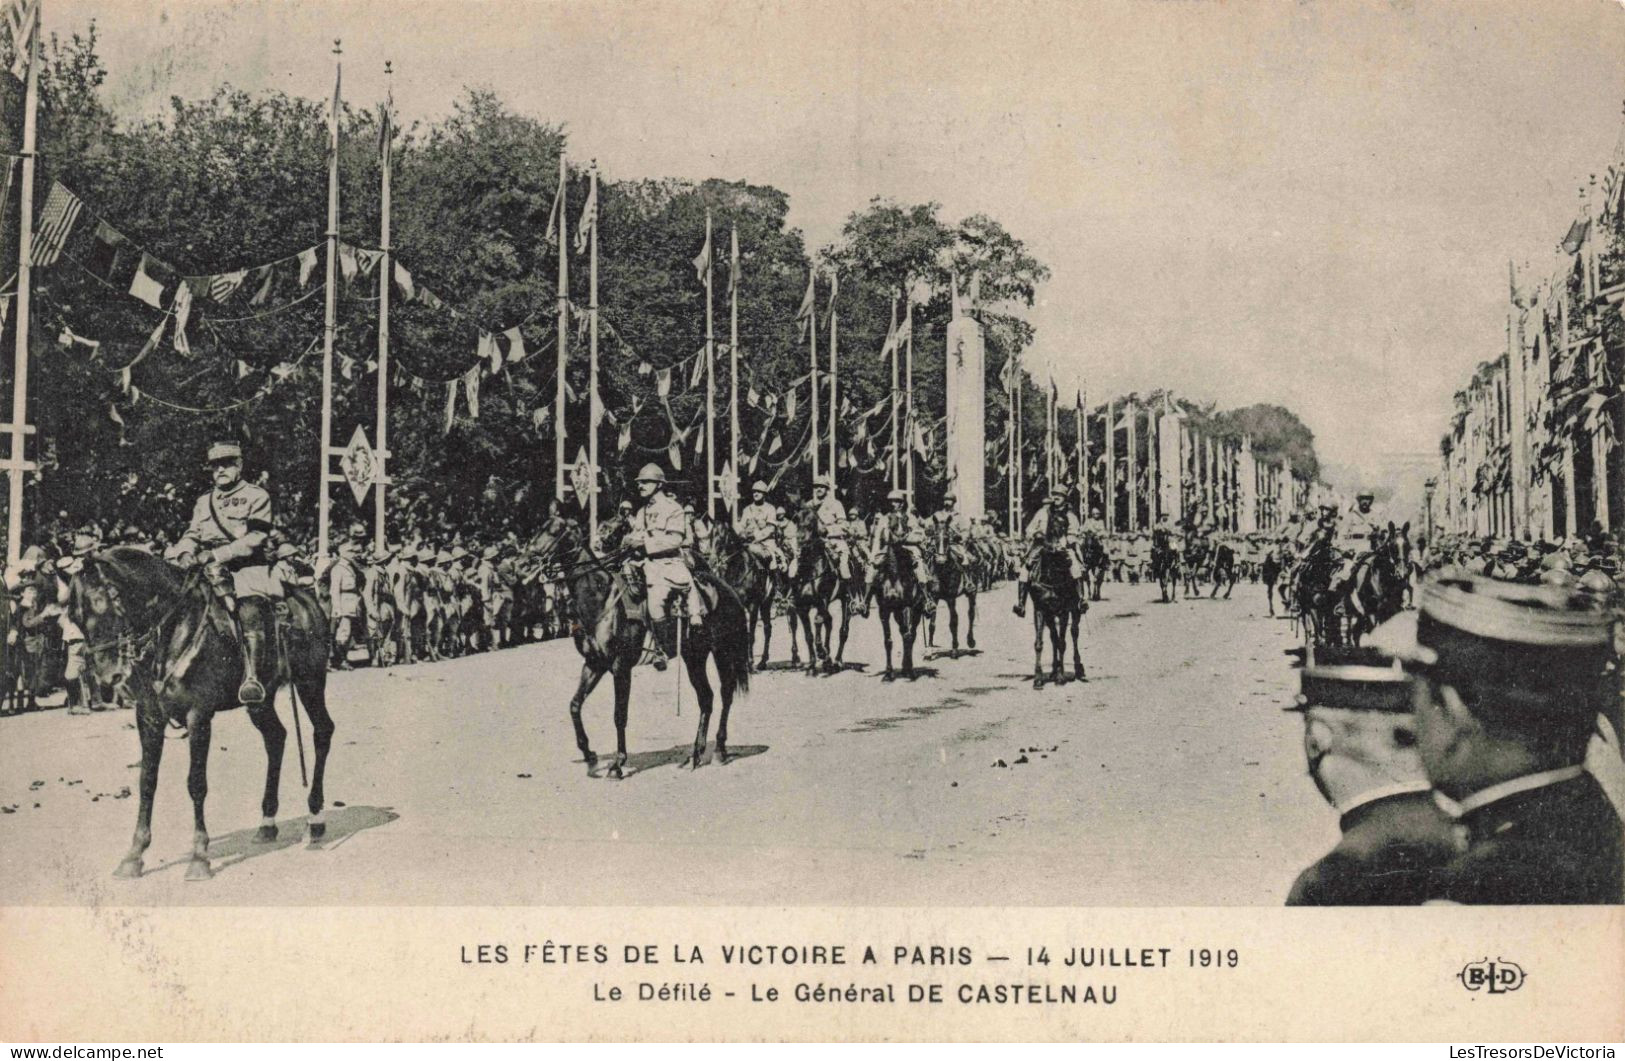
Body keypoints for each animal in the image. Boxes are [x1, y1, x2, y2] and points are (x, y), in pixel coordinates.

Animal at [68, 542, 334, 883]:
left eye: (106, 600)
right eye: (74, 615)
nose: (108, 677)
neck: (172, 629)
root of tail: (307, 597)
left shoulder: (198, 716)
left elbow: (196, 783)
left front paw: (199, 856)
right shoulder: (149, 717)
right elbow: (147, 781)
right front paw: (134, 855)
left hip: (310, 681)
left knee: (322, 731)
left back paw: (315, 819)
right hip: (260, 701)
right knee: (276, 738)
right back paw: (267, 822)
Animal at [529, 510, 750, 773]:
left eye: (553, 531)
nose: (528, 556)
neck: (602, 600)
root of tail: (729, 591)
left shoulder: (620, 667)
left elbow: (619, 715)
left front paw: (618, 763)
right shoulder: (594, 664)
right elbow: (574, 705)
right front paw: (589, 754)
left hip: (722, 652)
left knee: (726, 693)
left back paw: (719, 750)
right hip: (693, 656)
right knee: (706, 698)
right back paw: (695, 755)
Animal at [929, 519, 975, 653]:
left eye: (946, 538)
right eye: (935, 537)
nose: (940, 560)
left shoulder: (951, 599)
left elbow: (953, 622)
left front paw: (954, 647)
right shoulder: (934, 598)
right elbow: (932, 624)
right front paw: (929, 648)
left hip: (972, 593)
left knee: (971, 614)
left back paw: (970, 641)